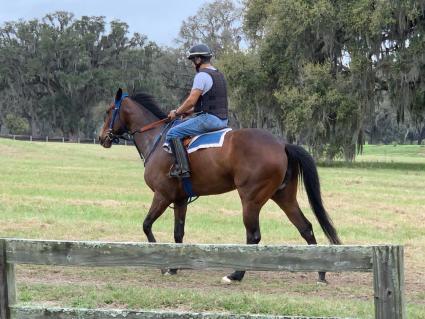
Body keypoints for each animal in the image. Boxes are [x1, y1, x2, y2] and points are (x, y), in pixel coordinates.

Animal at [97, 89, 340, 284]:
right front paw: (174, 267)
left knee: (253, 236)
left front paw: (164, 266)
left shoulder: (162, 196)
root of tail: (282, 144)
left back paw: (236, 274)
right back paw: (320, 272)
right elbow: (178, 234)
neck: (156, 140)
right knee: (305, 228)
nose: (101, 138)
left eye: (109, 111)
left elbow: (147, 226)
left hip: (251, 200)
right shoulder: (180, 200)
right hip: (284, 198)